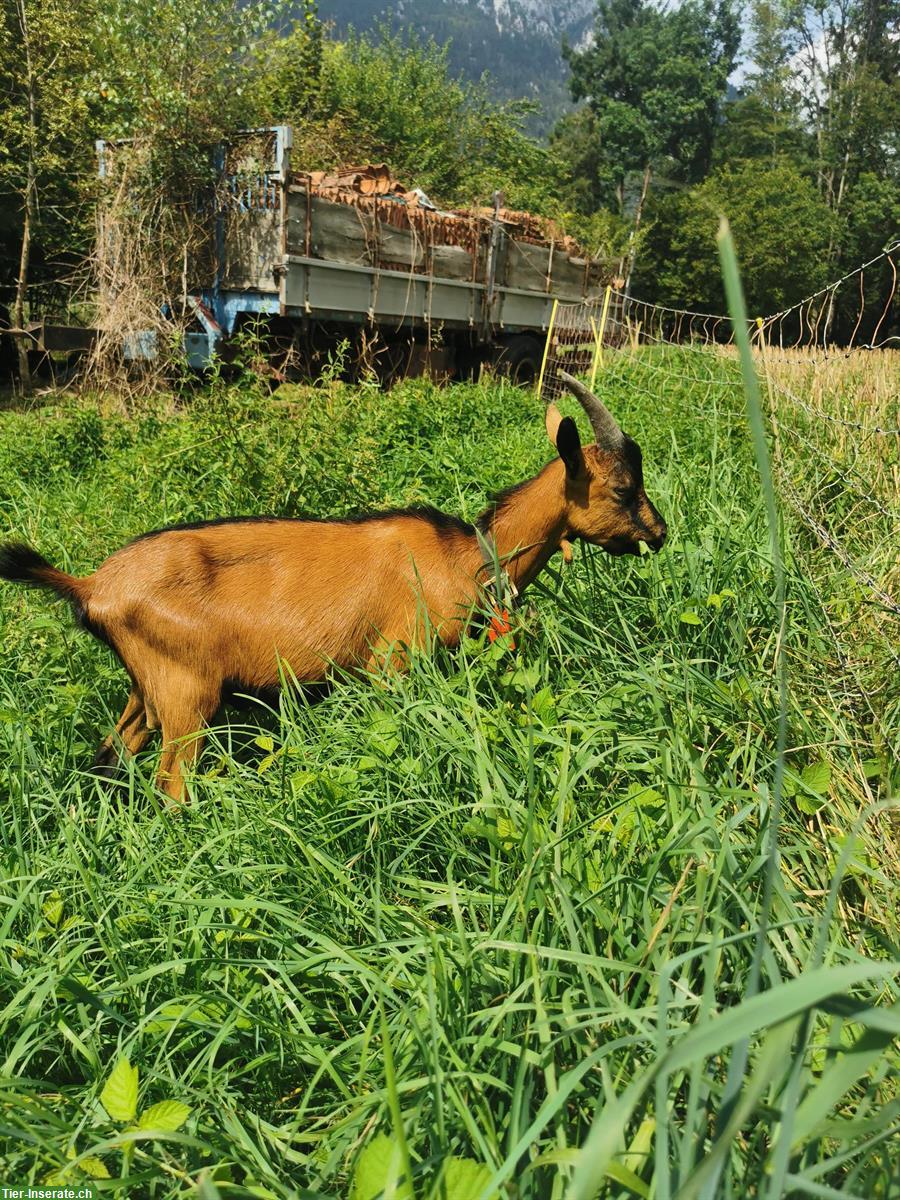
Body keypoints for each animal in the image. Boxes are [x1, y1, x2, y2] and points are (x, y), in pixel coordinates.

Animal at [0, 379, 672, 801]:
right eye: (621, 490)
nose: (660, 533)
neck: (469, 554)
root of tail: (91, 585)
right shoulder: (395, 662)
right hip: (187, 690)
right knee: (171, 785)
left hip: (147, 686)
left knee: (110, 754)